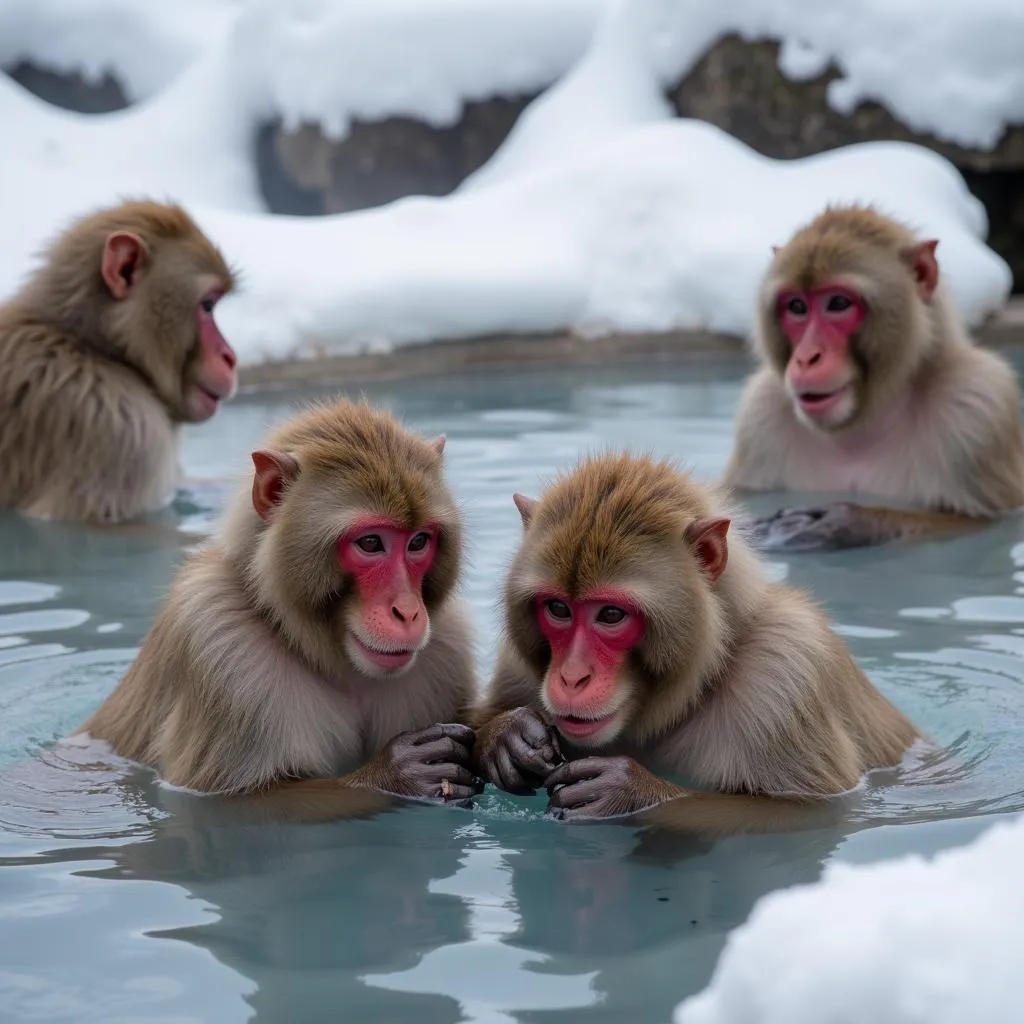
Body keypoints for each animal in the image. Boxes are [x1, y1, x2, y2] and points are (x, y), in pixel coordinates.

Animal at [75, 399, 483, 806]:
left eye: (418, 542)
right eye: (370, 543)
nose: (408, 611)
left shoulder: (447, 646)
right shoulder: (218, 644)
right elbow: (230, 800)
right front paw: (397, 774)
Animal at [471, 452, 921, 827]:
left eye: (611, 615)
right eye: (558, 609)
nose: (571, 677)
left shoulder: (785, 667)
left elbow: (806, 813)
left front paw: (630, 791)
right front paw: (506, 733)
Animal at [720, 205, 1024, 552]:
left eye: (838, 303)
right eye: (797, 306)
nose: (806, 357)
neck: (861, 427)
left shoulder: (978, 405)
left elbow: (981, 521)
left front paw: (853, 521)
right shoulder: (759, 415)